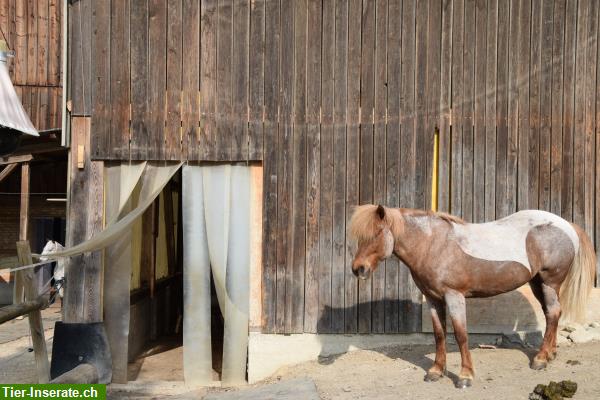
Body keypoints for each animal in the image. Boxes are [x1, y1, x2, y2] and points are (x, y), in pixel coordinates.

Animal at [346, 205, 596, 390]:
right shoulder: (433, 299)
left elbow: (460, 334)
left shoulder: (454, 296)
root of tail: (566, 225)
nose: (358, 269)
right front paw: (436, 371)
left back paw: (541, 359)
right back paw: (550, 353)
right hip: (537, 283)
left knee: (552, 313)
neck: (432, 244)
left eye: (376, 233)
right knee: (552, 314)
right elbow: (439, 335)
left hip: (549, 282)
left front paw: (465, 376)